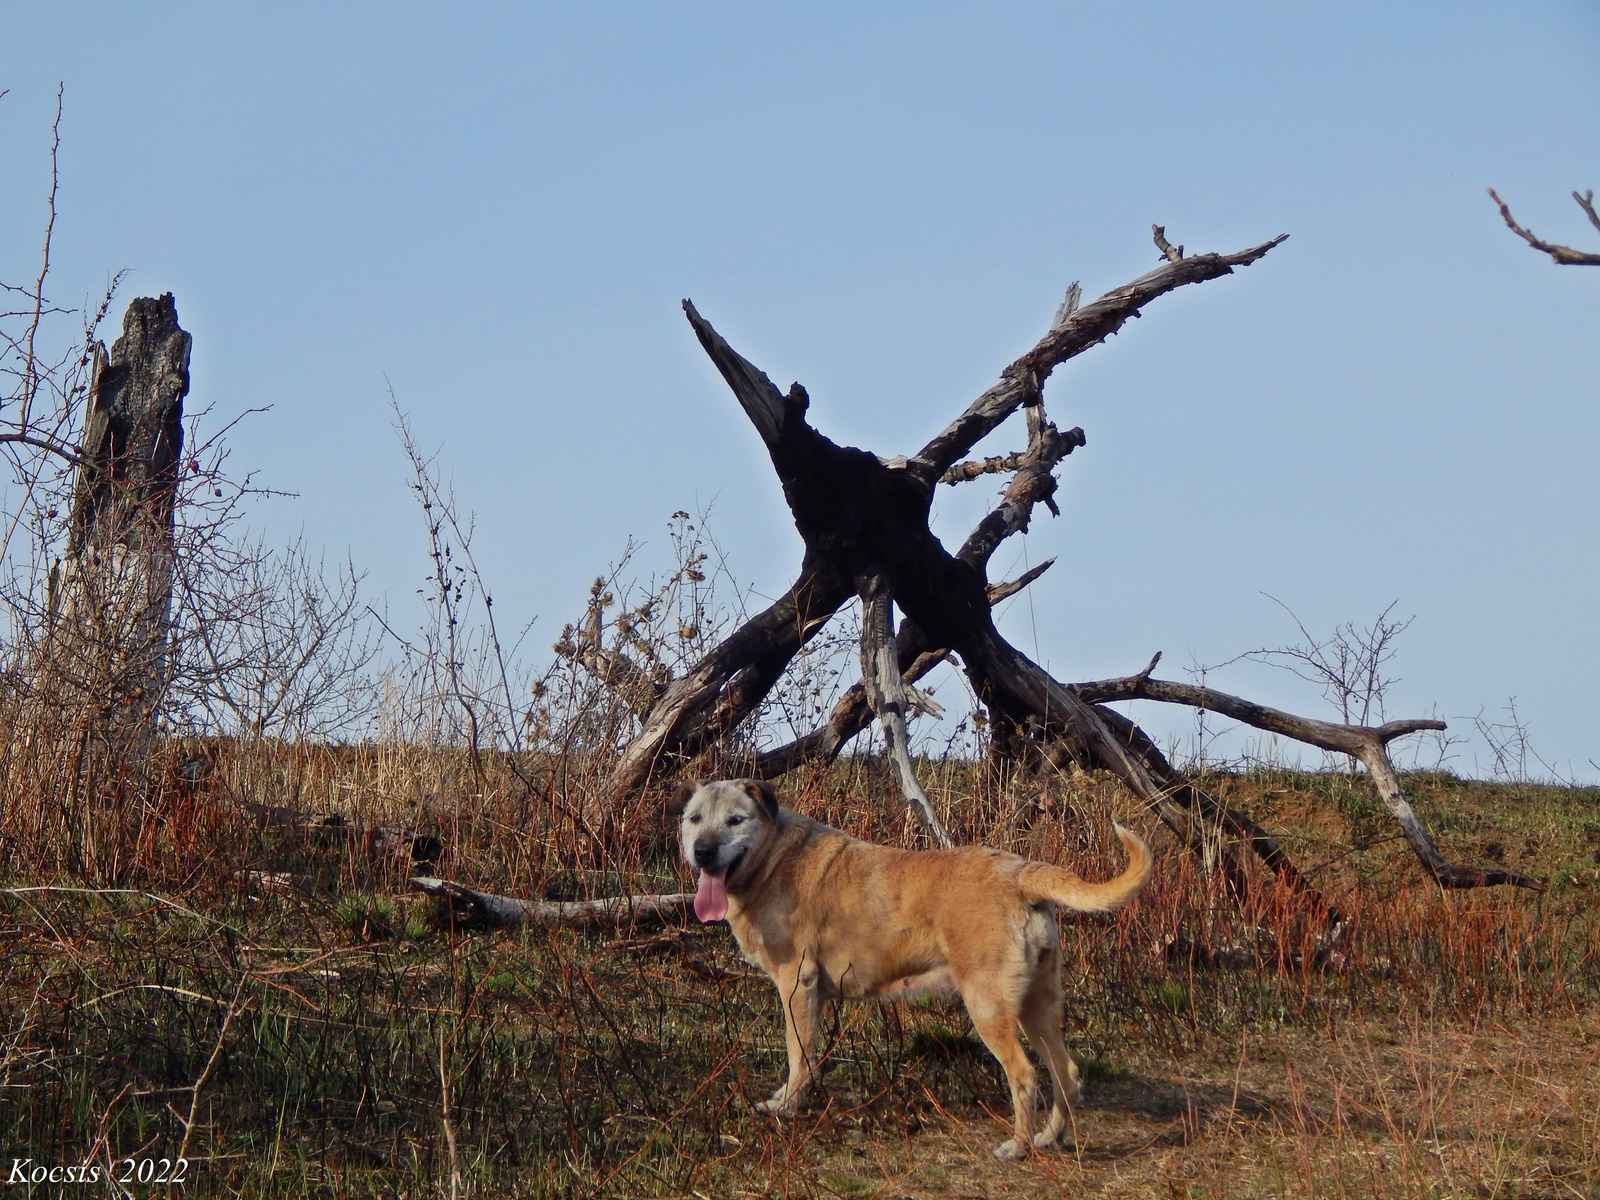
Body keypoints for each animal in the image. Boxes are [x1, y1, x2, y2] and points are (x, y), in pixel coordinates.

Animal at [675, 780, 1152, 1164]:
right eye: (694, 818)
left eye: (735, 820)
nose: (702, 852)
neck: (774, 857)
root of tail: (1019, 872)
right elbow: (805, 1057)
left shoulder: (798, 985)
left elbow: (800, 1055)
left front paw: (787, 1109)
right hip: (1038, 1007)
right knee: (1065, 1073)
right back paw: (1051, 1137)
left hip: (989, 1006)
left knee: (1025, 1075)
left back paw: (1017, 1146)